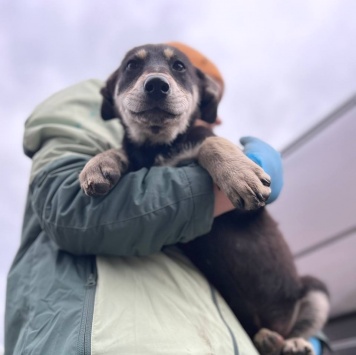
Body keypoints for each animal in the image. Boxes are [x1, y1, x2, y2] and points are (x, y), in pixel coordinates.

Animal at [79, 43, 330, 354]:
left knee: (301, 328)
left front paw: (240, 173)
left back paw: (292, 342)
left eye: (179, 66)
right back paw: (268, 340)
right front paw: (98, 164)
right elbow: (125, 151)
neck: (160, 145)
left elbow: (210, 142)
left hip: (316, 290)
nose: (156, 86)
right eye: (131, 66)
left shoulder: (245, 208)